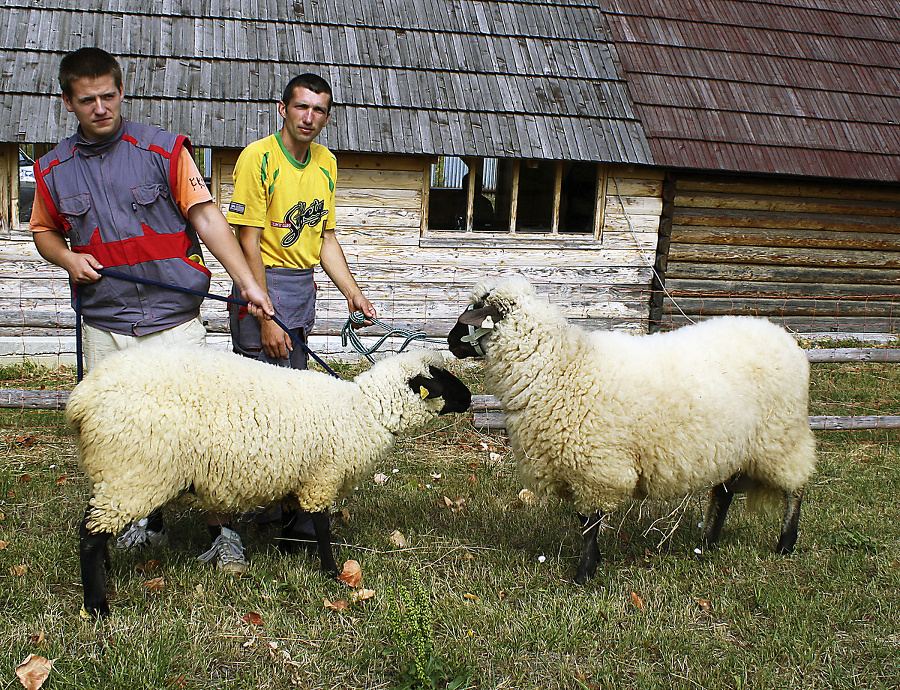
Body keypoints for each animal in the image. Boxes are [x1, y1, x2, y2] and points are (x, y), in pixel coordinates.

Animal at [68, 346, 472, 616]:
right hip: (132, 473)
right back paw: (98, 605)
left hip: (113, 474)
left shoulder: (297, 477)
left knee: (95, 525)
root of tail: (81, 399)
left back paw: (106, 571)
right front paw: (331, 573)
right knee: (88, 537)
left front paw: (288, 552)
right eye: (442, 379)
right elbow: (322, 525)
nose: (469, 398)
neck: (364, 410)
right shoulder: (322, 477)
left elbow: (293, 519)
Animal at [448, 274, 816, 580]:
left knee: (795, 488)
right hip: (736, 445)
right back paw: (708, 543)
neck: (561, 366)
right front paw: (592, 563)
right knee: (724, 495)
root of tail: (782, 337)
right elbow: (585, 521)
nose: (450, 342)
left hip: (781, 436)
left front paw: (585, 572)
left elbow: (590, 523)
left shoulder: (596, 467)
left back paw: (785, 543)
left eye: (474, 311)